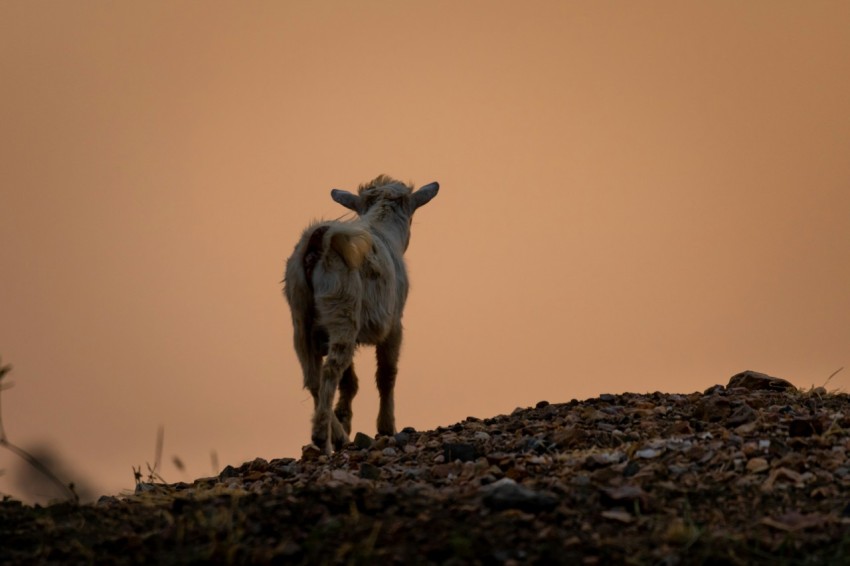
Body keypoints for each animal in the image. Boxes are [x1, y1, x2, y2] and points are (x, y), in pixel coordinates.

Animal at [284, 175, 440, 454]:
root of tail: (318, 241)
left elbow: (351, 382)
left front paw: (345, 419)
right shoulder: (394, 322)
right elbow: (386, 373)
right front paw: (387, 427)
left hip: (299, 314)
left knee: (313, 377)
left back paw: (336, 435)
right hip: (341, 306)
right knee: (331, 369)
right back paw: (322, 437)